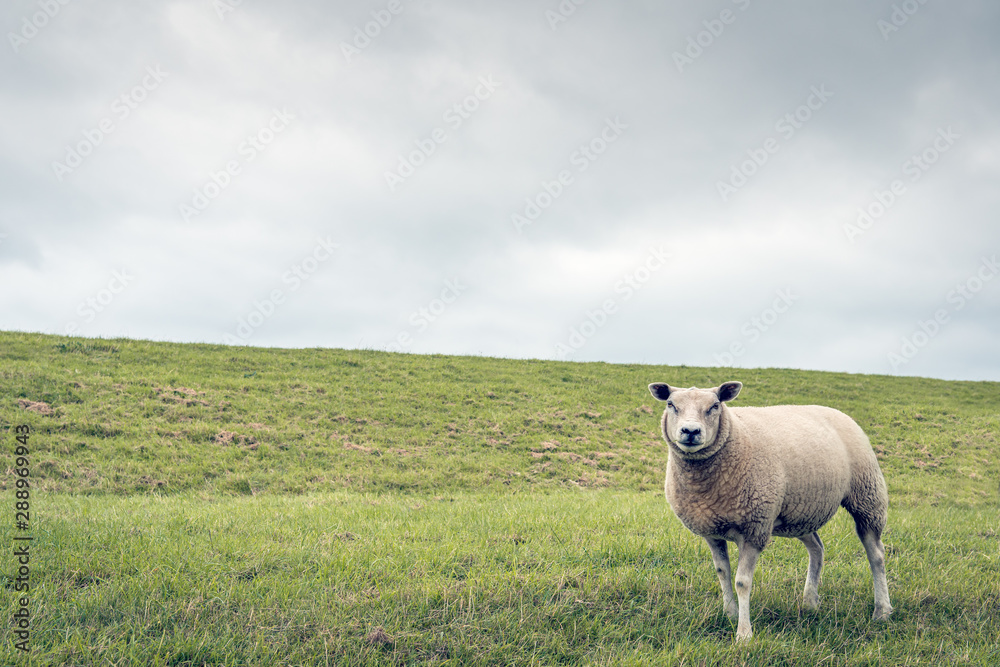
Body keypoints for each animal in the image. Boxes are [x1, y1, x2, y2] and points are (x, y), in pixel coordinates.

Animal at [647, 380, 892, 641]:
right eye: (671, 404)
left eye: (715, 406)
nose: (691, 431)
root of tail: (838, 413)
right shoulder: (712, 532)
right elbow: (722, 572)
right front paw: (730, 613)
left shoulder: (755, 528)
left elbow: (742, 582)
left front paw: (744, 634)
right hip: (800, 512)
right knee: (817, 548)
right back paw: (810, 603)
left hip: (867, 495)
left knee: (876, 554)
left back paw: (882, 610)